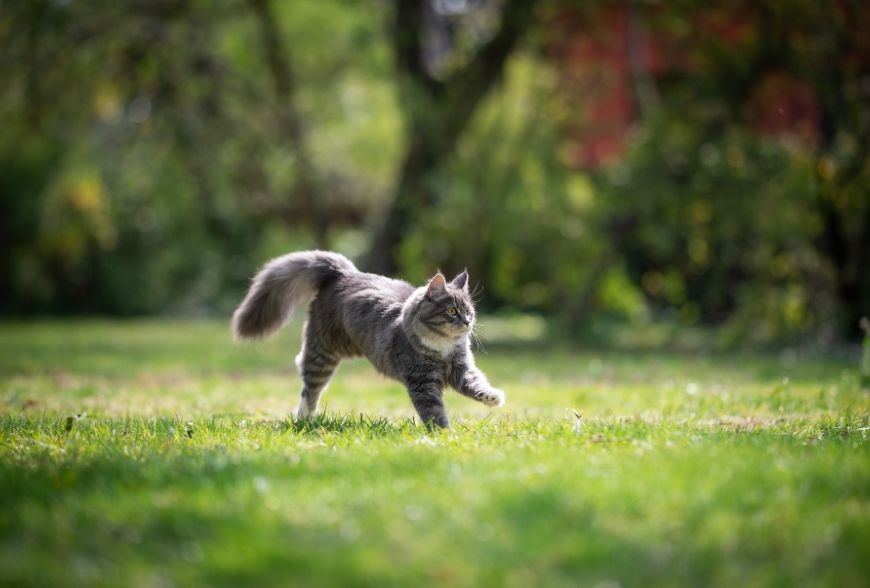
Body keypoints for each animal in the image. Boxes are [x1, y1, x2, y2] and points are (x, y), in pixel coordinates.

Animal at [232, 250, 504, 430]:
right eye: (452, 311)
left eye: (469, 311)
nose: (467, 322)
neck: (442, 347)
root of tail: (344, 273)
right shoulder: (422, 382)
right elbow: (434, 411)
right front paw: (443, 435)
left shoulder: (461, 368)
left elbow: (476, 384)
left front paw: (493, 398)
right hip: (323, 354)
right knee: (309, 387)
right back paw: (304, 420)